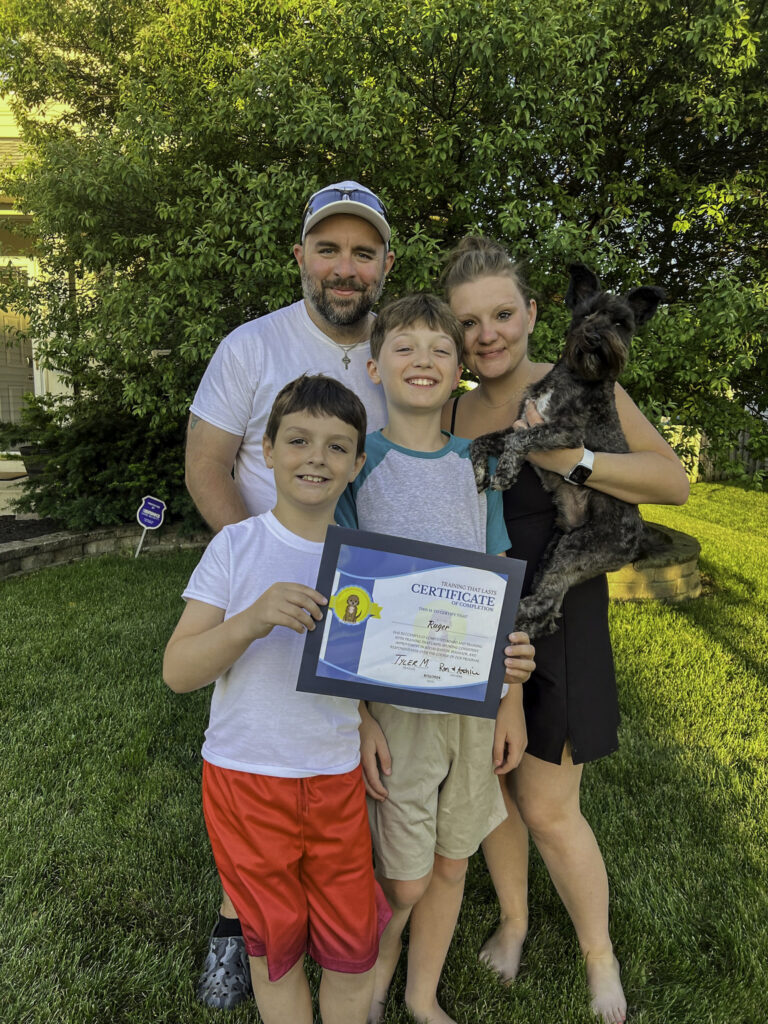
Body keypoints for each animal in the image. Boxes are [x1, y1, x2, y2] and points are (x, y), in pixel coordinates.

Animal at [468, 262, 667, 638]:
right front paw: (480, 473)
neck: (575, 378)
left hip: (581, 548)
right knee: (549, 605)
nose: (595, 338)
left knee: (547, 601)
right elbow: (480, 440)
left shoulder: (565, 435)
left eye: (621, 324)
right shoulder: (519, 423)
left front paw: (505, 472)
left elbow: (518, 442)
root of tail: (637, 542)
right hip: (557, 548)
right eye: (586, 314)